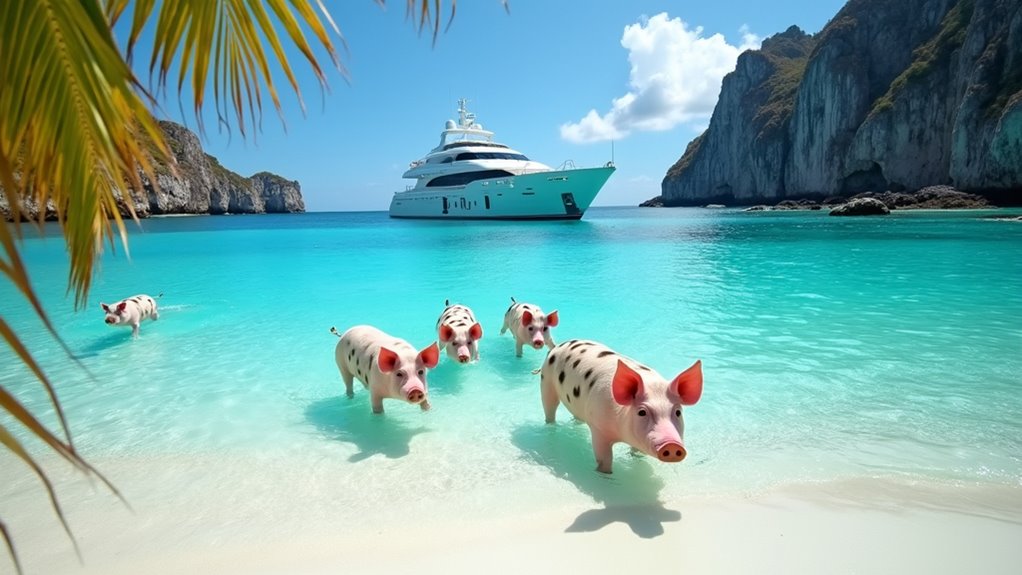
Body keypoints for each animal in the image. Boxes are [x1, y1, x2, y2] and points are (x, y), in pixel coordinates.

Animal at [540, 339, 703, 474]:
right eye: (642, 412)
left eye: (678, 412)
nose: (672, 445)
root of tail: (558, 345)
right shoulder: (599, 429)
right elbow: (604, 459)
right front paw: (605, 475)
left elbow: (636, 453)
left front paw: (635, 459)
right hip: (546, 381)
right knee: (549, 407)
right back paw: (550, 426)